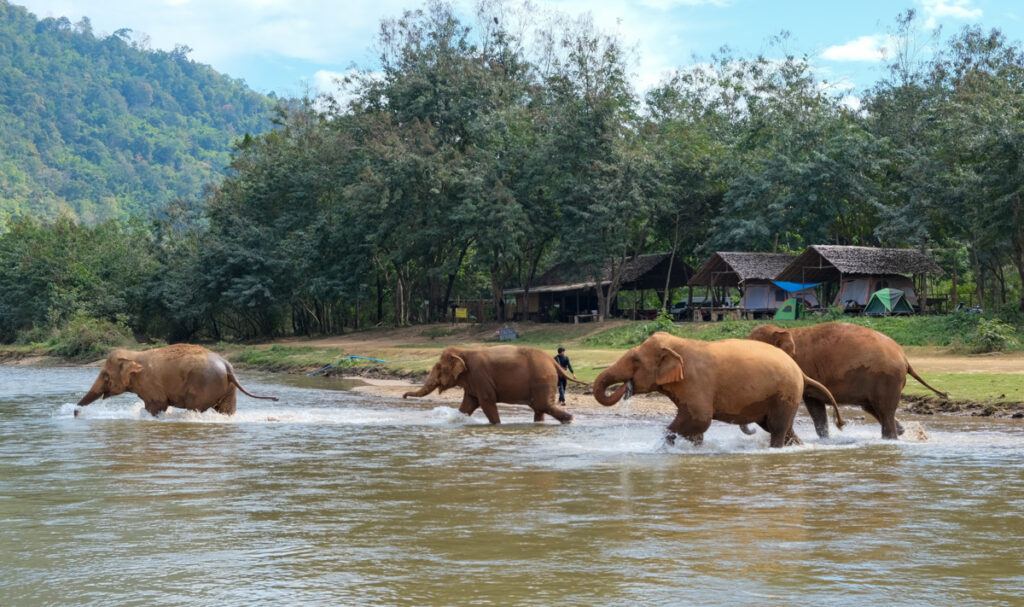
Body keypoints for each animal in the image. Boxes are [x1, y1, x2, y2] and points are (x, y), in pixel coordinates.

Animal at [75, 345, 278, 417]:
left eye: (105, 375)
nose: (76, 412)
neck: (134, 354)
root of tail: (226, 365)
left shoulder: (150, 383)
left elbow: (157, 405)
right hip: (228, 387)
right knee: (226, 410)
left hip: (205, 385)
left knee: (195, 407)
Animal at [403, 343, 589, 423]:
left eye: (439, 368)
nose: (404, 396)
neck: (463, 351)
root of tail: (552, 361)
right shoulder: (473, 381)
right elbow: (468, 404)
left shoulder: (479, 376)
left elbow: (486, 402)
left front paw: (497, 425)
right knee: (539, 407)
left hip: (542, 379)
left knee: (542, 405)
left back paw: (569, 420)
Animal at [589, 331, 843, 444]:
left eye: (635, 361)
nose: (626, 387)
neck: (678, 343)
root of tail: (800, 371)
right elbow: (697, 424)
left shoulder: (696, 381)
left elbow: (700, 419)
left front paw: (667, 445)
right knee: (780, 428)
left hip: (786, 392)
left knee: (778, 428)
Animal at [749, 321, 946, 440]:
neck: (786, 330)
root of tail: (904, 358)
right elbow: (816, 408)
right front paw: (826, 440)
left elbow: (812, 403)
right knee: (875, 409)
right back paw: (903, 432)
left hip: (888, 378)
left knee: (885, 410)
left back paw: (892, 438)